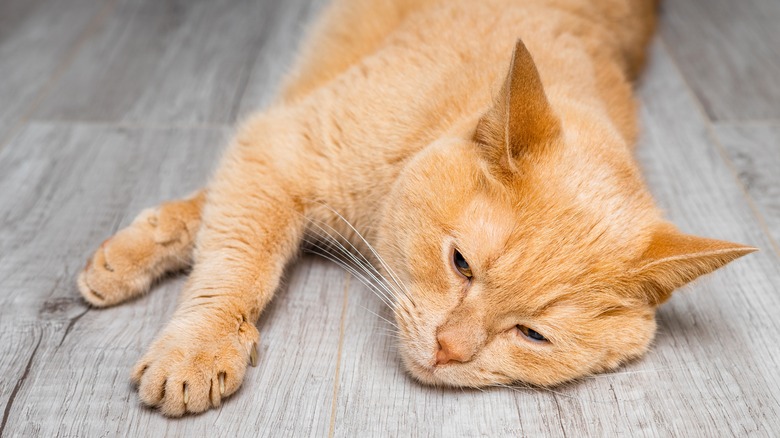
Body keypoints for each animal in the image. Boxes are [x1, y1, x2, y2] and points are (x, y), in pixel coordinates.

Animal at [76, 0, 752, 416]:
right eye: (460, 264)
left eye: (533, 334)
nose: (449, 348)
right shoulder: (282, 143)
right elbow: (237, 259)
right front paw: (195, 344)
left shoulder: (276, 150)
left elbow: (225, 222)